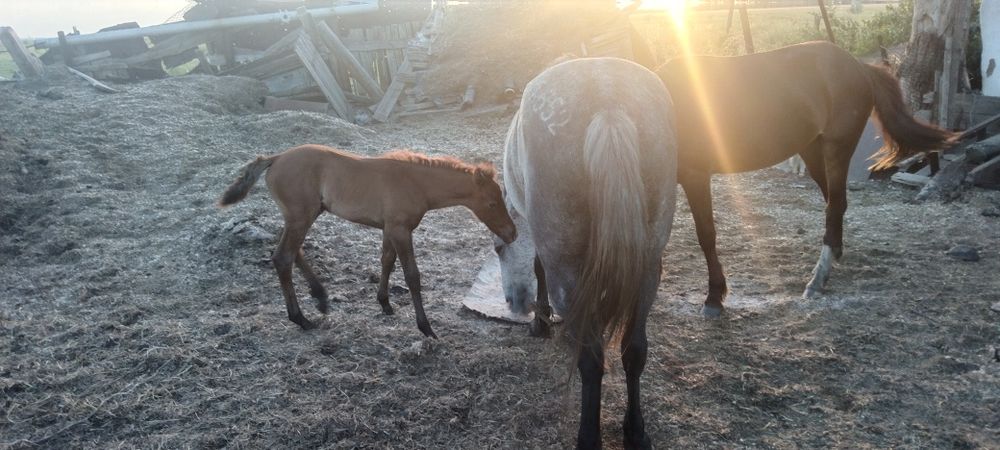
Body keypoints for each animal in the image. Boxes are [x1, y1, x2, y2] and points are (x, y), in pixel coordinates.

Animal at [218, 144, 517, 337]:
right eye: (492, 203)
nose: (512, 233)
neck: (415, 183)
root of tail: (276, 157)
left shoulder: (389, 228)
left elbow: (386, 261)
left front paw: (384, 303)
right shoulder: (400, 229)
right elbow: (412, 275)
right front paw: (426, 328)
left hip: (301, 216)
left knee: (293, 252)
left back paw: (320, 297)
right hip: (301, 216)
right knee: (283, 257)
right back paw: (301, 318)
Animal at [496, 57, 678, 449]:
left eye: (498, 247)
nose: (513, 303)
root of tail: (607, 100)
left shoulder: (547, 252)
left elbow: (538, 268)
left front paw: (540, 323)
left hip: (569, 272)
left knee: (591, 358)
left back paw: (588, 438)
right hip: (648, 268)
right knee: (634, 350)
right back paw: (636, 433)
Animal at [655, 41, 958, 315]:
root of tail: (859, 66)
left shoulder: (696, 177)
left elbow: (705, 234)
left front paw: (714, 296)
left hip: (837, 149)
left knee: (834, 206)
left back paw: (818, 279)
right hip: (812, 151)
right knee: (836, 204)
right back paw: (834, 254)